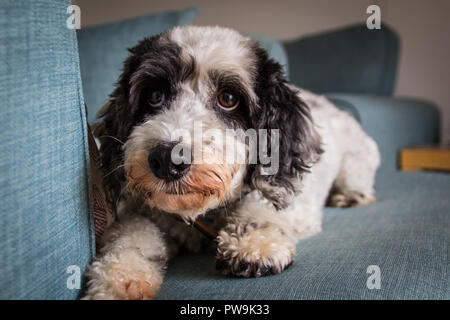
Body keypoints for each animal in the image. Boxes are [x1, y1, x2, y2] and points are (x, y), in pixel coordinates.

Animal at [83, 25, 380, 300]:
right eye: (154, 95)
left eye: (228, 98)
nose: (166, 159)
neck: (204, 215)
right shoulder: (146, 213)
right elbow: (131, 232)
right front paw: (119, 277)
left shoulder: (292, 201)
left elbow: (259, 202)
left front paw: (254, 241)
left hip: (355, 162)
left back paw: (351, 196)